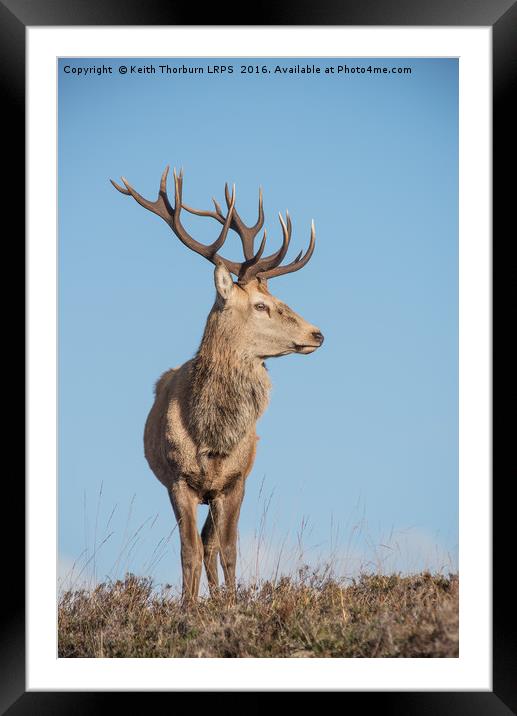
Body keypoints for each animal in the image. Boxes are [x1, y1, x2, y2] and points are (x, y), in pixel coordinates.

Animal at [111, 165, 324, 600]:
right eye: (261, 305)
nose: (317, 334)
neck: (210, 435)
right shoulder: (178, 480)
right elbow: (188, 552)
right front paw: (188, 608)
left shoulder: (235, 481)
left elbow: (227, 549)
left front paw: (231, 602)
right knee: (200, 545)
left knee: (212, 543)